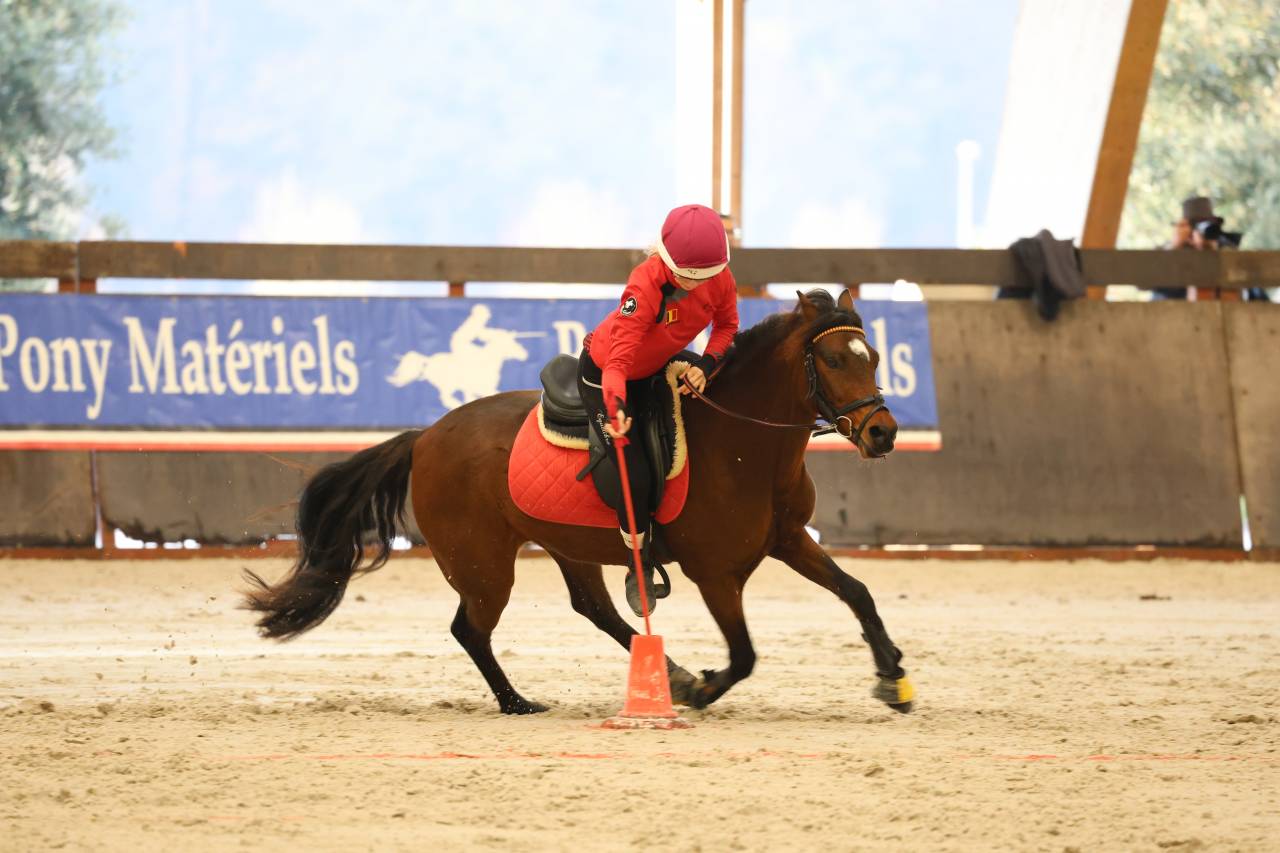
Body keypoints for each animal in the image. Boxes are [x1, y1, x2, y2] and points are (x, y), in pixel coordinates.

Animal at [243, 288, 914, 715]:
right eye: (834, 359)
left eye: (875, 357)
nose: (883, 432)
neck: (744, 446)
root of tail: (426, 436)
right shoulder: (716, 574)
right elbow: (745, 655)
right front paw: (702, 691)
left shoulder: (789, 540)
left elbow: (858, 593)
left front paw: (892, 675)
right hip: (484, 566)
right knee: (470, 629)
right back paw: (518, 702)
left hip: (569, 544)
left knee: (595, 609)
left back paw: (664, 673)